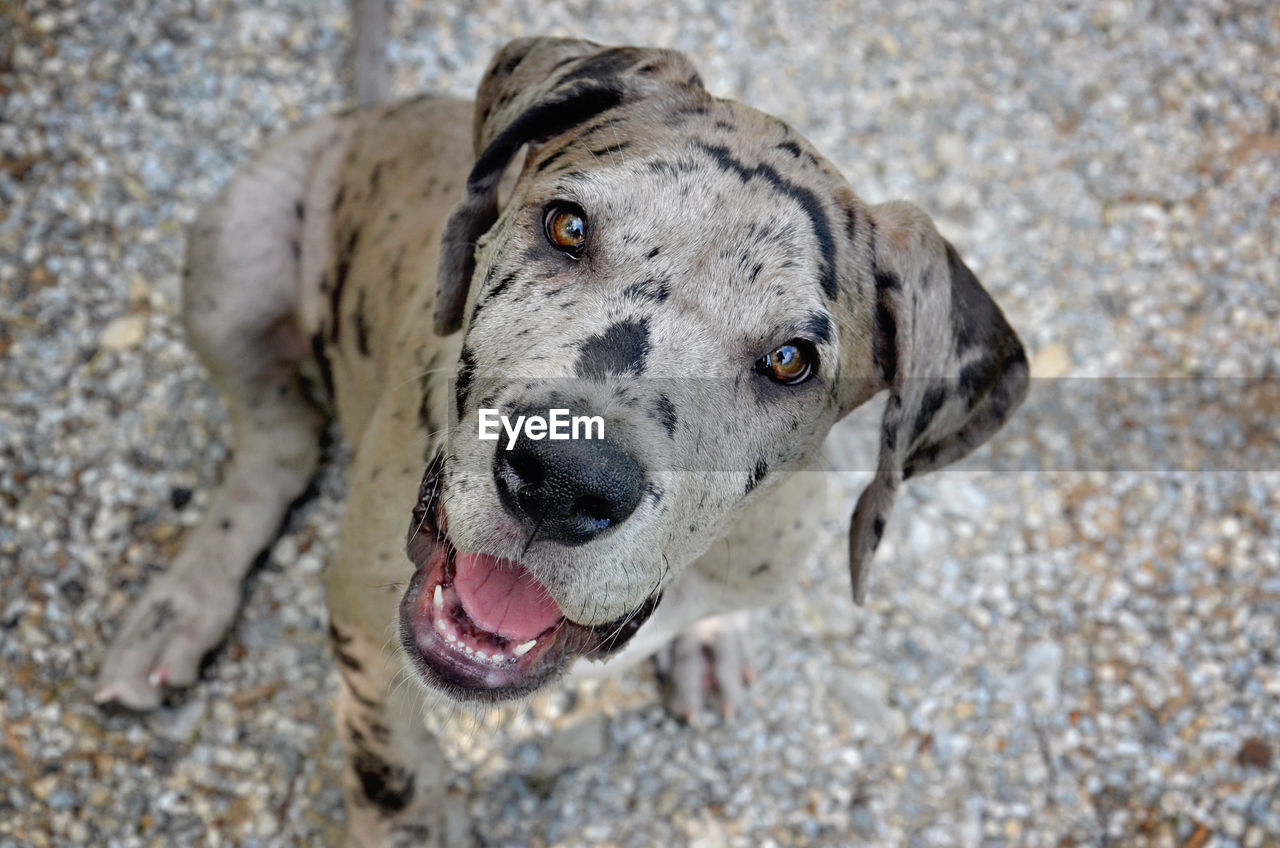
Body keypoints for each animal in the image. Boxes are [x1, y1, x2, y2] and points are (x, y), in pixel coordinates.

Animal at [92, 36, 1029, 845]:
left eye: (791, 360)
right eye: (568, 226)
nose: (562, 479)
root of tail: (373, 108)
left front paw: (711, 638)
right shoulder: (360, 610)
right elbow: (391, 764)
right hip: (233, 254)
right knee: (274, 445)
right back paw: (179, 607)